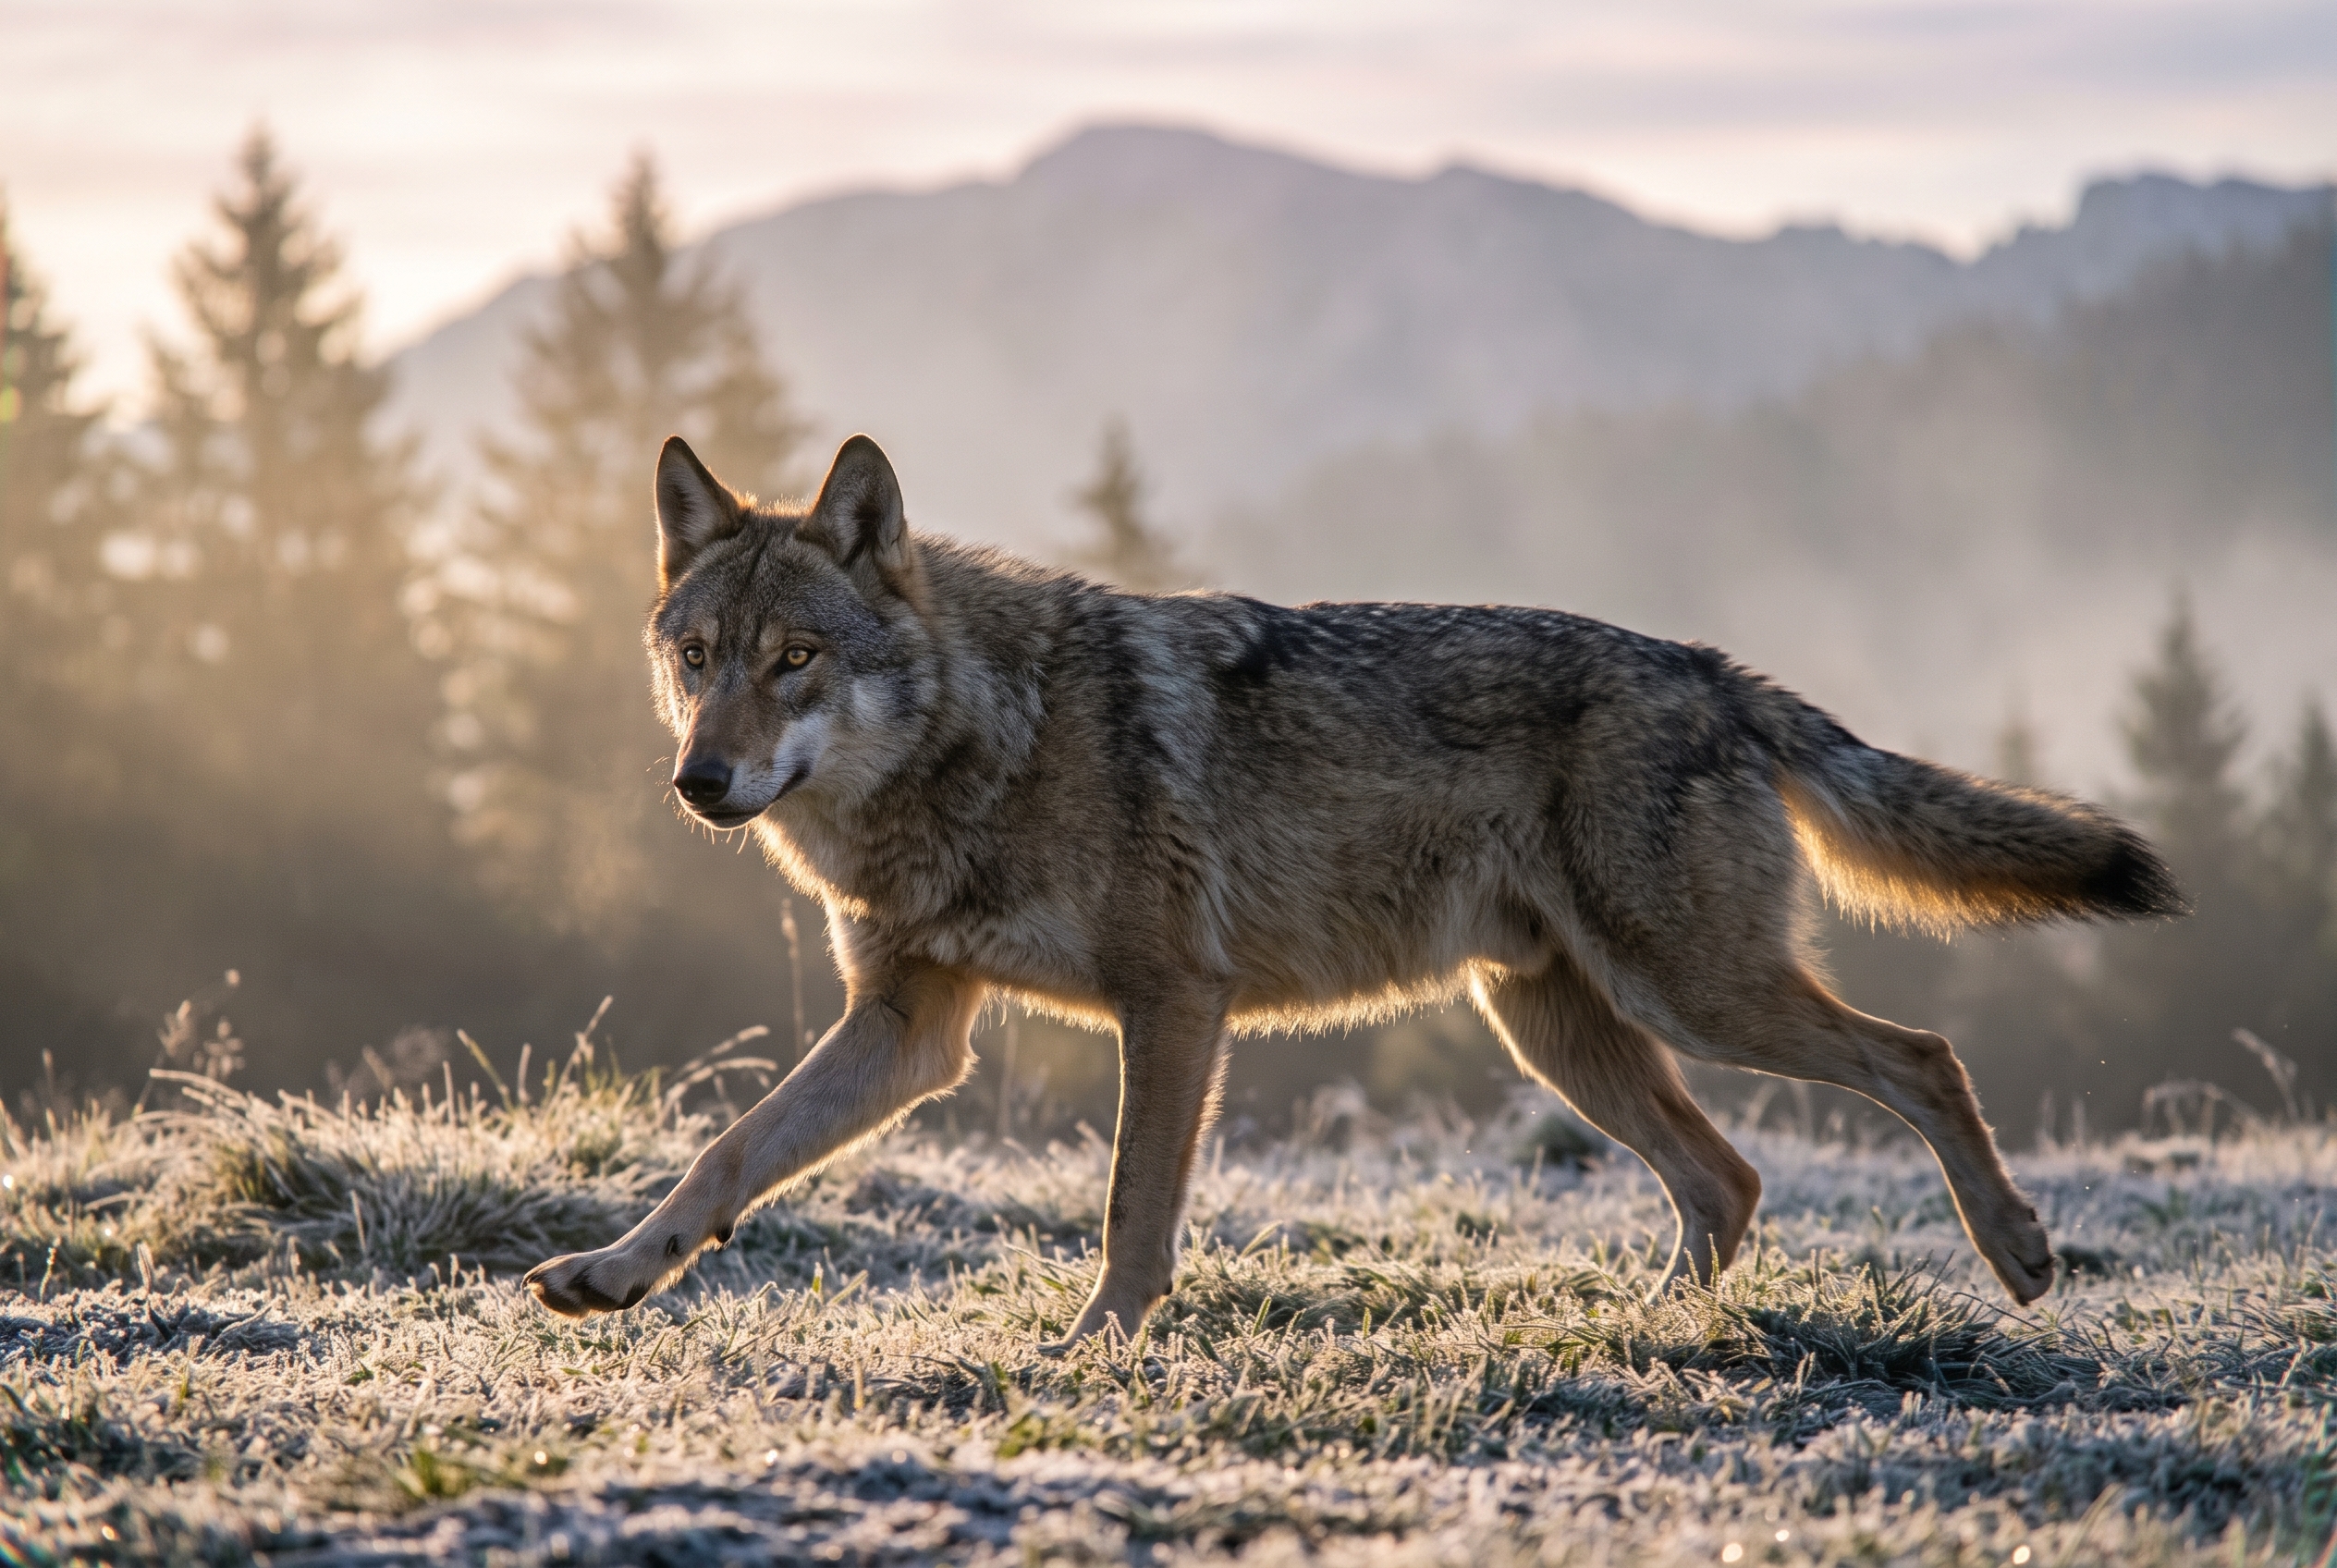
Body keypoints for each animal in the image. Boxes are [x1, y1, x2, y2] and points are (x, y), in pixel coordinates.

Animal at [524, 434, 2182, 1341]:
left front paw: (1095, 1353)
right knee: (1729, 1179)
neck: (984, 744)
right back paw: (1636, 1333)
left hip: (1691, 998)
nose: (700, 782)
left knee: (1920, 1057)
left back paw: (2018, 1253)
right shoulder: (909, 1029)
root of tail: (1715, 670)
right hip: (1564, 1032)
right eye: (696, 658)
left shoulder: (1171, 1006)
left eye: (794, 660)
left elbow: (1131, 1211)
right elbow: (723, 1158)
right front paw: (612, 1274)